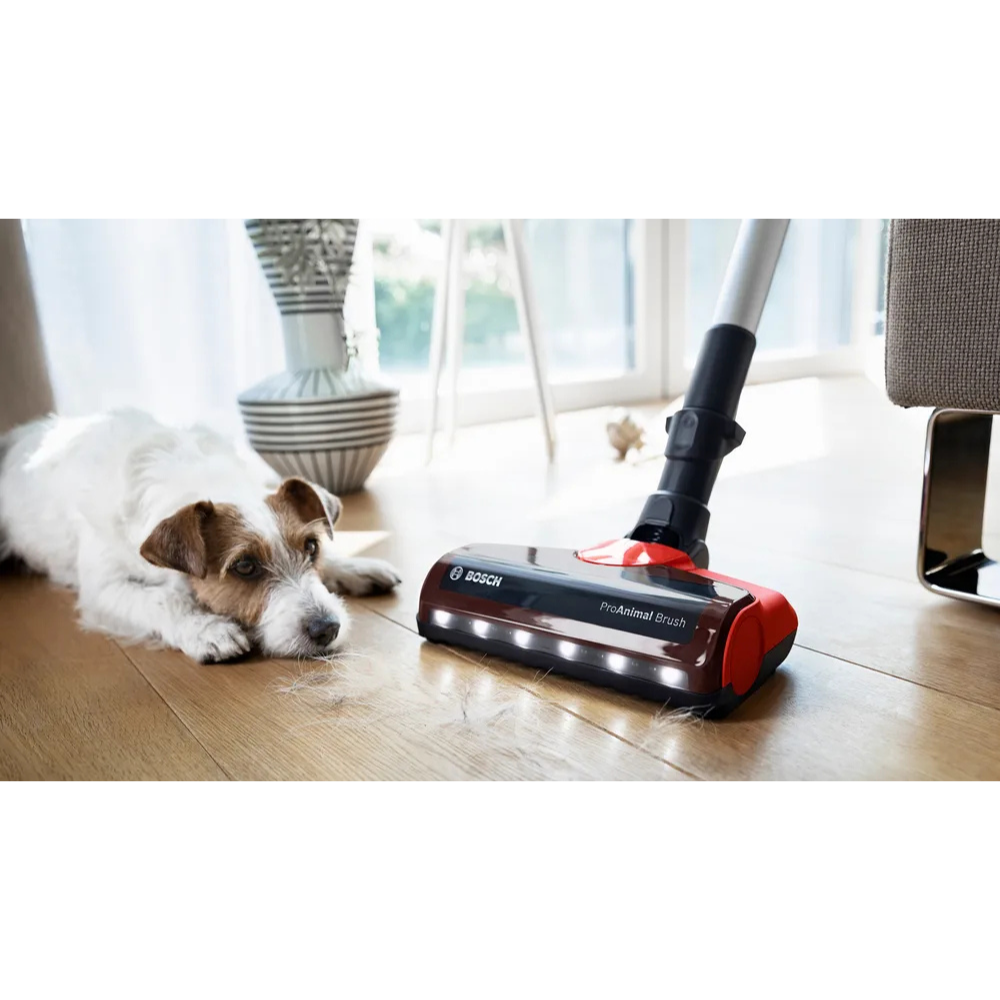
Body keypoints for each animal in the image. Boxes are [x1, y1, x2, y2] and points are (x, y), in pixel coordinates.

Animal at [0, 410, 401, 662]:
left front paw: (355, 567)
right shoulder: (103, 589)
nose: (328, 628)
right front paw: (205, 627)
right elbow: (162, 599)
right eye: (244, 566)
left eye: (312, 547)